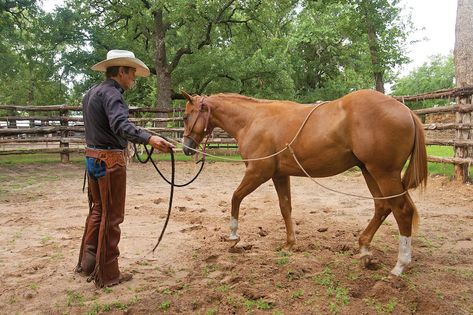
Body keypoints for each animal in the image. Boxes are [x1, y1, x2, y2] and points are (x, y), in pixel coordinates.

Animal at [181, 89, 428, 276]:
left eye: (185, 116)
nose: (186, 148)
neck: (253, 120)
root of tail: (406, 111)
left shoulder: (258, 172)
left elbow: (235, 197)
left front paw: (233, 236)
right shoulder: (279, 175)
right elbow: (285, 208)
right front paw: (289, 244)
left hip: (384, 173)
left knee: (402, 211)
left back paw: (400, 265)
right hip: (369, 171)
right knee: (383, 206)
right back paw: (365, 249)